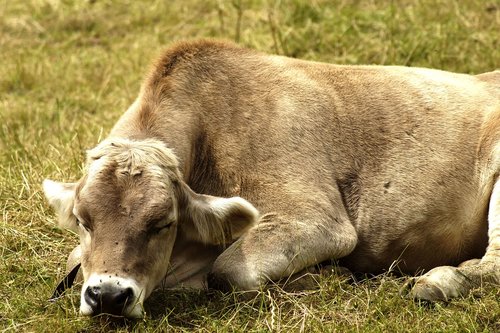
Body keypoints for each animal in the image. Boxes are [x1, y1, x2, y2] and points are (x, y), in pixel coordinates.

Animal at [44, 39, 500, 316]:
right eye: (83, 221)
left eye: (163, 223)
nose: (108, 295)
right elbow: (72, 264)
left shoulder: (317, 220)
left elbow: (230, 271)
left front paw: (328, 277)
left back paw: (436, 282)